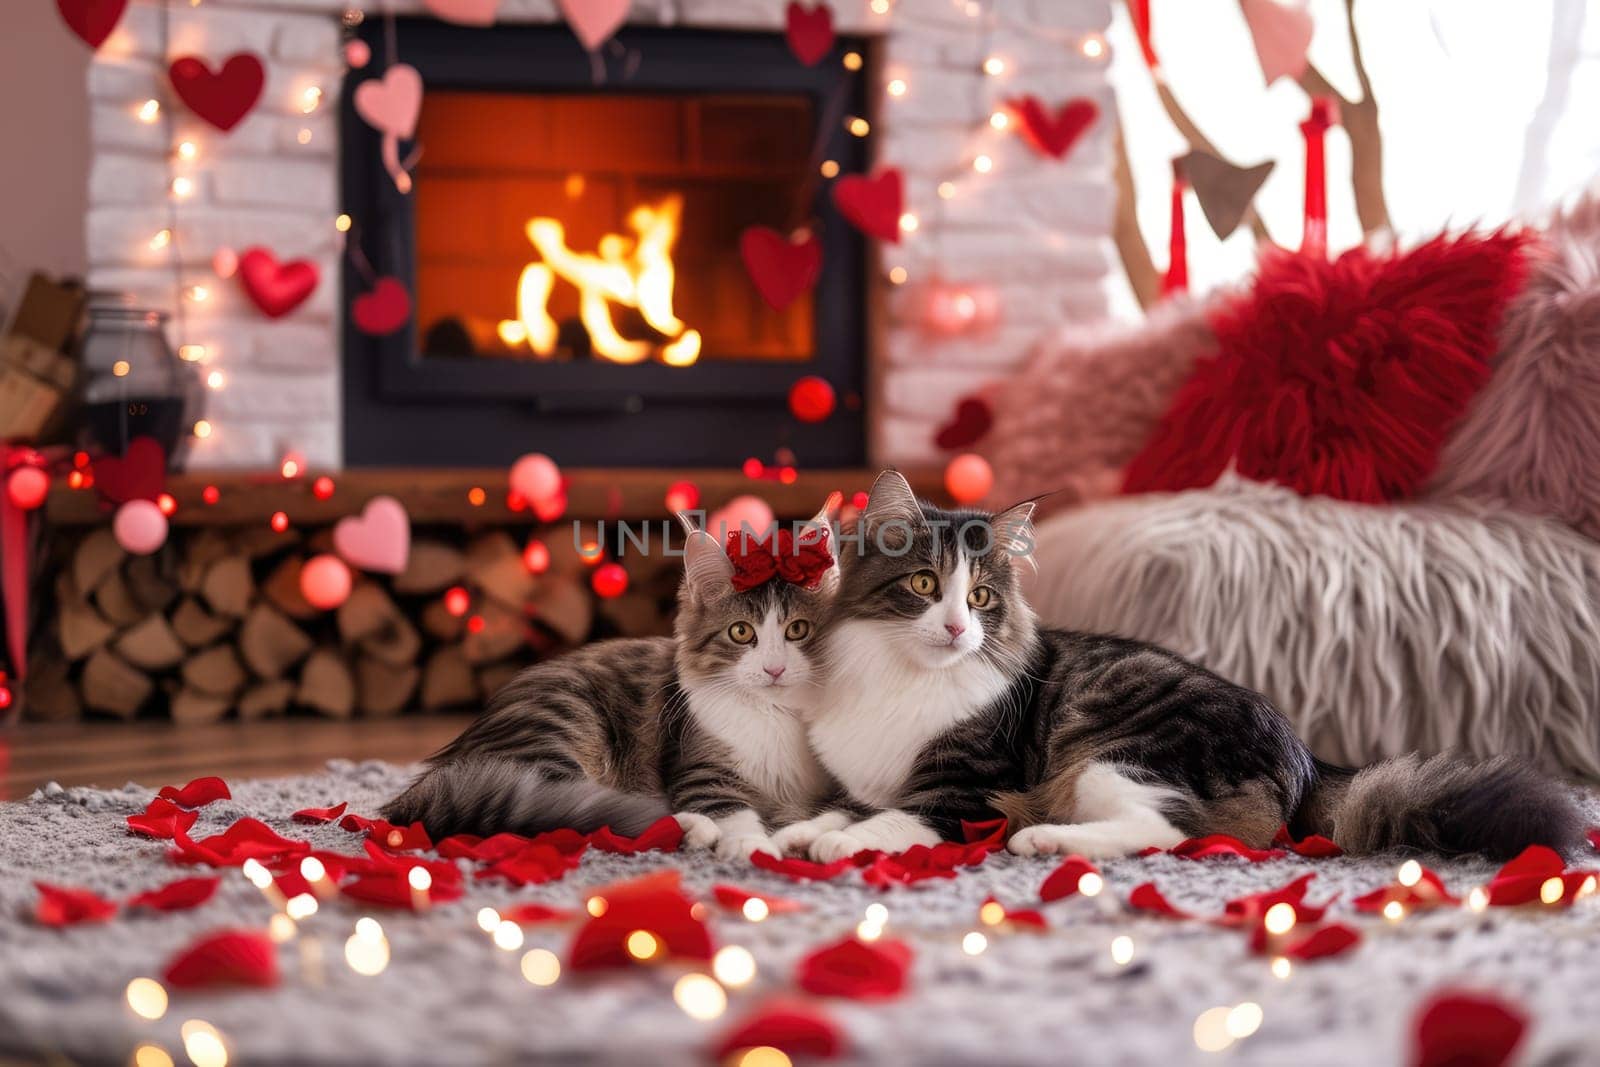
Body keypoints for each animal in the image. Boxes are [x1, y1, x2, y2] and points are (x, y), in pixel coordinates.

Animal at [384, 505, 838, 863]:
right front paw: (752, 846)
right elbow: (733, 811)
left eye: (797, 630)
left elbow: (832, 813)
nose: (774, 669)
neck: (775, 714)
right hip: (563, 726)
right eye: (742, 632)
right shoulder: (699, 769)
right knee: (581, 806)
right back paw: (692, 830)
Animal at [774, 470, 1587, 863]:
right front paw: (789, 835)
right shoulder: (865, 780)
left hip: (1112, 754)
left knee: (1168, 831)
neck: (901, 675)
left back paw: (1046, 841)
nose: (956, 627)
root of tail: (1308, 759)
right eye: (923, 585)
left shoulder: (963, 791)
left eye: (978, 597)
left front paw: (833, 844)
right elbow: (841, 806)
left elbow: (892, 822)